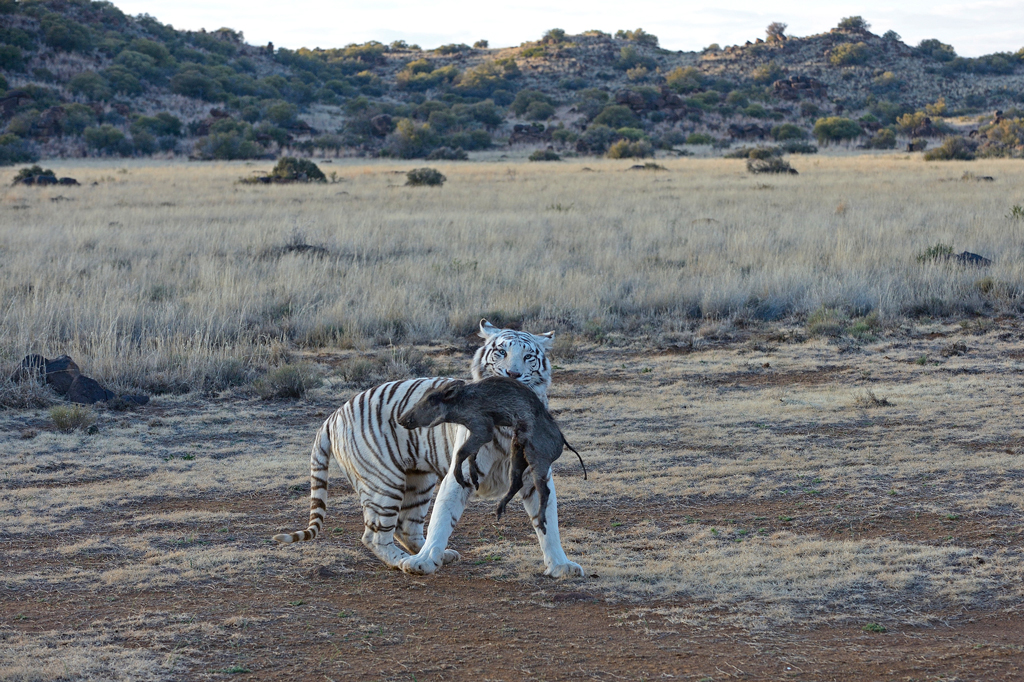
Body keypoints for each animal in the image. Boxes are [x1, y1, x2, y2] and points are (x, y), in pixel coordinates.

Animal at [272, 317, 585, 573]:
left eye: (529, 356)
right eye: (501, 352)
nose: (513, 374)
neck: (509, 422)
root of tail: (333, 414)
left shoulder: (536, 473)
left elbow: (548, 520)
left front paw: (561, 565)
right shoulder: (460, 472)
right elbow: (442, 518)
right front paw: (423, 563)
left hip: (418, 482)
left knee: (405, 527)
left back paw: (436, 555)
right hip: (384, 483)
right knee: (374, 535)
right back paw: (408, 561)